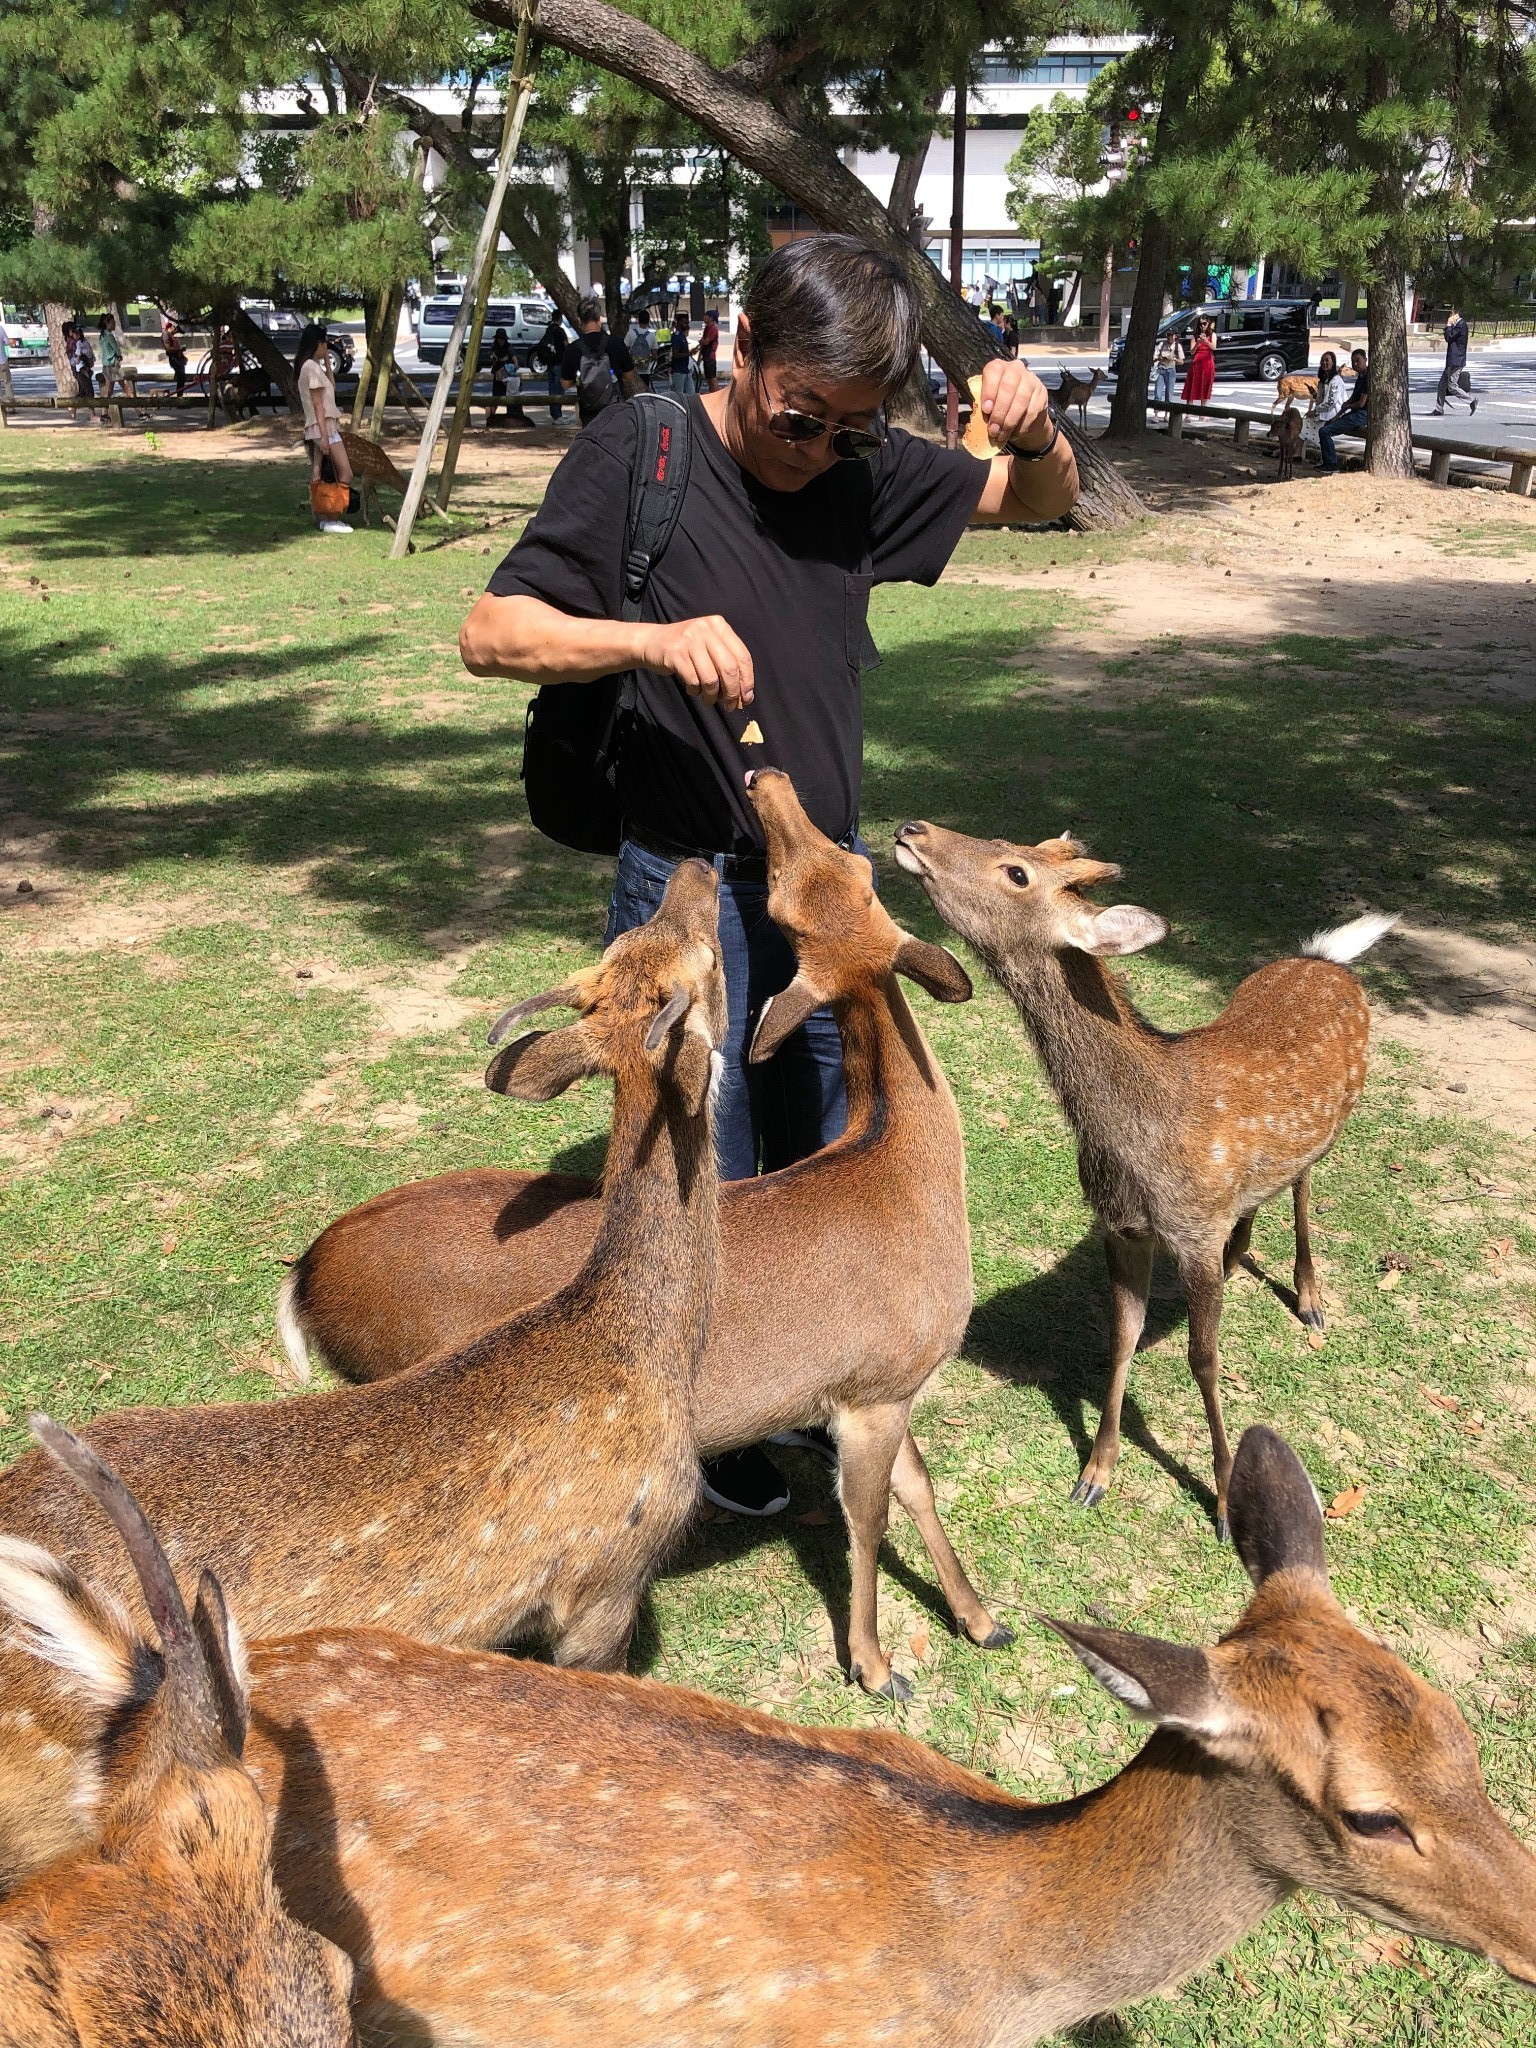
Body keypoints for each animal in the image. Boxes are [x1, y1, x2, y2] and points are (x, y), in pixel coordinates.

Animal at [272, 770, 1003, 1695]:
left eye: (849, 873)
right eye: (783, 896)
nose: (766, 780)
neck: (906, 1174)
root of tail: (304, 1275)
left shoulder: (880, 1387)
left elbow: (920, 1487)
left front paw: (983, 1620)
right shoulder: (876, 1383)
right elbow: (868, 1519)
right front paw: (876, 1667)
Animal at [888, 815, 1392, 1540]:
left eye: (1017, 872)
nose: (912, 828)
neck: (1134, 1142)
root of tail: (1327, 960)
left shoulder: (1192, 1232)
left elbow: (1204, 1361)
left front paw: (1223, 1501)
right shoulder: (1123, 1226)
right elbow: (1122, 1337)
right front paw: (1095, 1475)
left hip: (1331, 1128)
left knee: (1301, 1190)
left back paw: (1309, 1297)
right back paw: (1243, 1252)